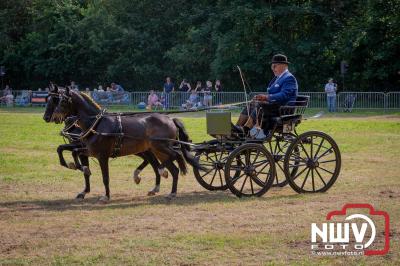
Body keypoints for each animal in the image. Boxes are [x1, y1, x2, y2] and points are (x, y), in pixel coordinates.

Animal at [52, 87, 203, 202]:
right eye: (56, 100)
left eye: (63, 101)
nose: (53, 116)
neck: (96, 124)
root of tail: (170, 119)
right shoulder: (89, 150)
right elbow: (73, 152)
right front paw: (80, 167)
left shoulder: (102, 156)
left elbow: (105, 177)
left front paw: (106, 196)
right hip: (158, 150)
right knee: (173, 168)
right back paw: (170, 189)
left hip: (161, 147)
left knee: (177, 155)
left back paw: (163, 174)